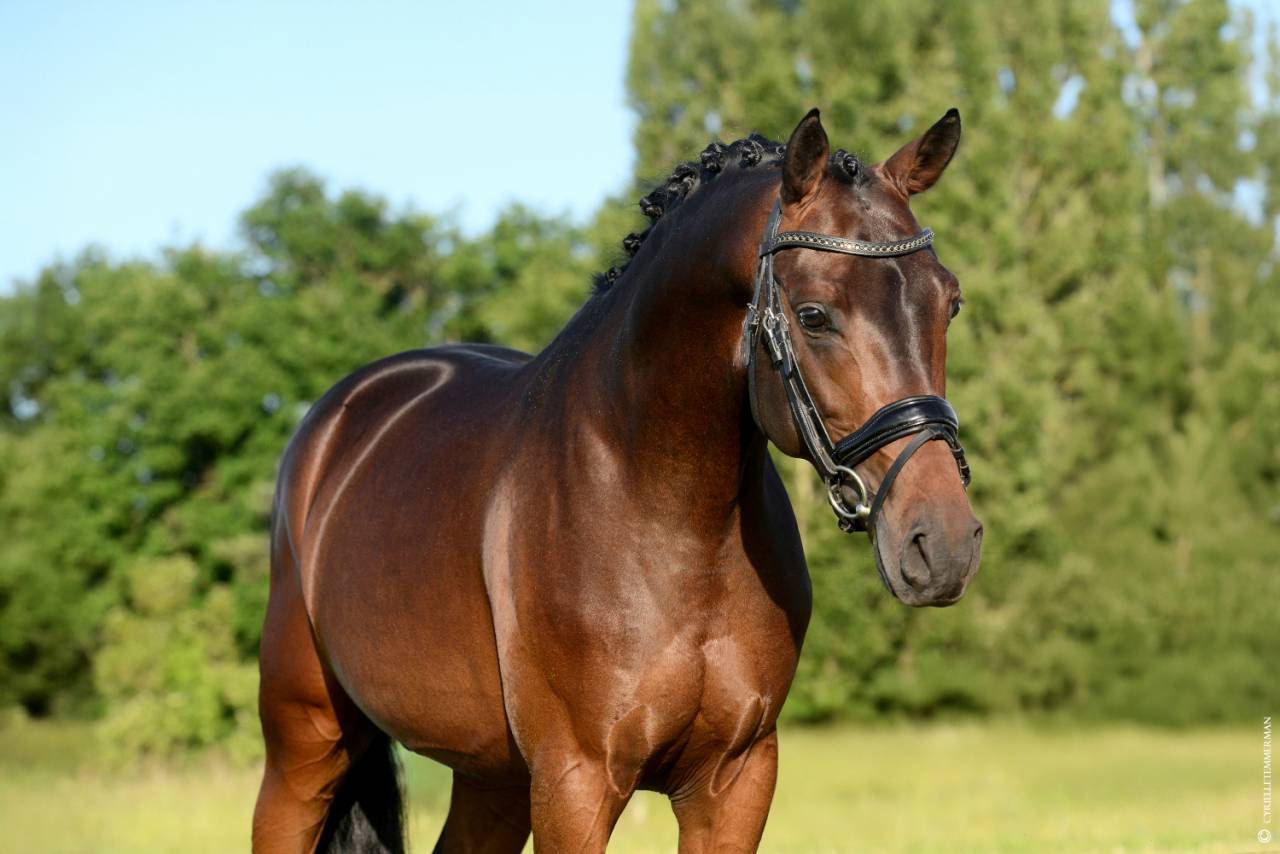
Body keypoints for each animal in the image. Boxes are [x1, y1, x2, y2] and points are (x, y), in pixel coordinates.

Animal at [253, 107, 982, 853]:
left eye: (948, 303)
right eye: (812, 314)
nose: (943, 543)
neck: (672, 518)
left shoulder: (737, 779)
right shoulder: (577, 782)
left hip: (491, 774)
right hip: (303, 746)